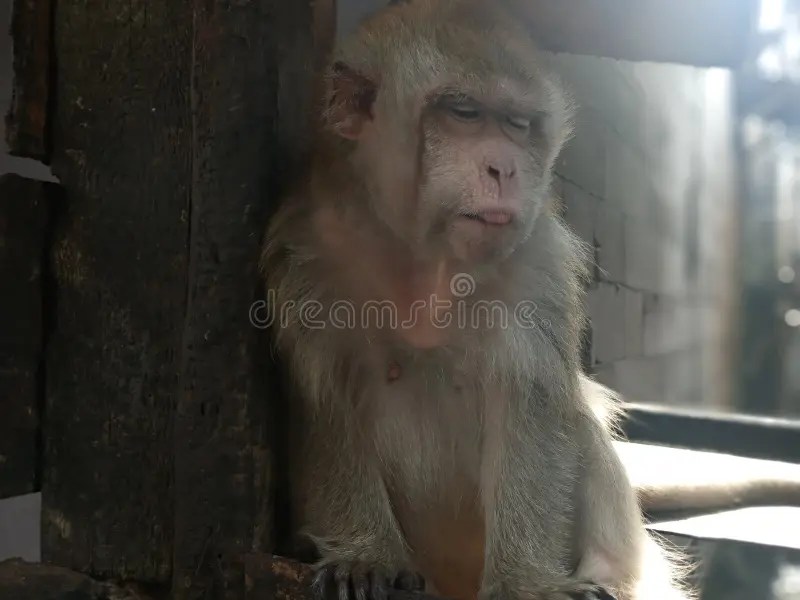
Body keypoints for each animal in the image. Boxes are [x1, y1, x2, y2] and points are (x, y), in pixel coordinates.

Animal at [261, 1, 690, 599]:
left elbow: (530, 401)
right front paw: (365, 555)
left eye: (518, 124)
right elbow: (325, 398)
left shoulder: (537, 262)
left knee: (578, 418)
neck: (424, 258)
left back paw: (607, 574)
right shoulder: (310, 253)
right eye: (463, 112)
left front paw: (526, 582)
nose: (504, 169)